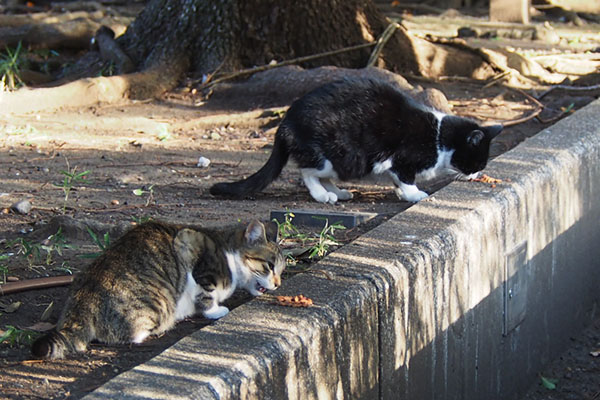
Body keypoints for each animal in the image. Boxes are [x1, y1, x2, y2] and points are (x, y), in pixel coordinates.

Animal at [31, 219, 284, 360]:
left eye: (281, 269)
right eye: (269, 266)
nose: (278, 283)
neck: (228, 252)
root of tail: (84, 299)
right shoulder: (194, 251)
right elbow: (206, 293)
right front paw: (215, 310)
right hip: (159, 303)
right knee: (132, 335)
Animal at [211, 77, 502, 203]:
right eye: (477, 161)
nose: (477, 174)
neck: (440, 137)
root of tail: (285, 122)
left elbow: (397, 180)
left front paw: (400, 192)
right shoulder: (404, 159)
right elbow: (406, 178)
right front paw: (414, 194)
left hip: (341, 162)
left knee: (322, 175)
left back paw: (338, 192)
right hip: (337, 154)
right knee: (308, 172)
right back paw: (322, 196)